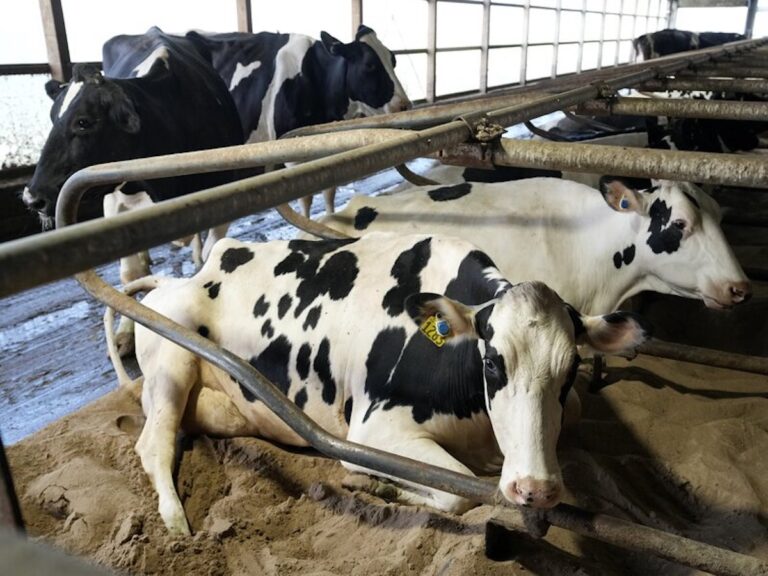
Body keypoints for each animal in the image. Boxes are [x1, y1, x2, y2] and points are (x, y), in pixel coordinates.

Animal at [114, 232, 650, 535]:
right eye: (493, 363)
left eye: (570, 369)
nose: (535, 488)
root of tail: (177, 279)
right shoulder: (374, 430)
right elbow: (458, 491)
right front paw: (373, 482)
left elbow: (573, 411)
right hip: (170, 362)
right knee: (153, 442)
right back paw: (175, 521)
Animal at [186, 25, 411, 215]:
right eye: (370, 65)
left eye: (393, 60)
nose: (404, 106)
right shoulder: (291, 153)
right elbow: (305, 196)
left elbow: (329, 191)